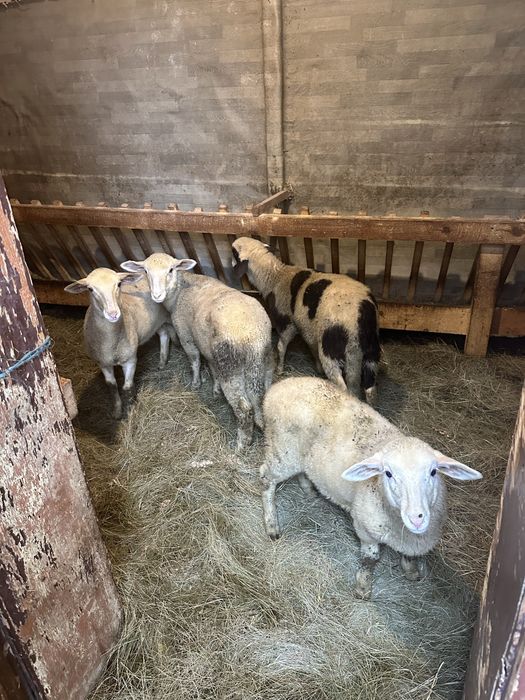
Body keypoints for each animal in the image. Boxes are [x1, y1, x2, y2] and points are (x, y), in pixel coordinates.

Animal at [65, 267, 173, 419]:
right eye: (90, 289)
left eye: (119, 284)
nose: (113, 314)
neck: (111, 342)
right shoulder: (103, 363)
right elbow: (112, 386)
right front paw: (117, 411)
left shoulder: (130, 360)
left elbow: (127, 387)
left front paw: (131, 408)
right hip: (156, 322)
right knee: (164, 335)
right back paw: (162, 362)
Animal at [120, 253, 273, 449]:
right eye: (146, 271)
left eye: (171, 270)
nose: (157, 295)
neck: (180, 289)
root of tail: (253, 335)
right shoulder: (208, 347)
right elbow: (212, 369)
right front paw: (215, 390)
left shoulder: (186, 335)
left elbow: (194, 360)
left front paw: (195, 383)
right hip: (261, 359)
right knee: (261, 394)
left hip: (230, 367)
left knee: (243, 408)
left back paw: (241, 443)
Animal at [231, 237, 380, 403]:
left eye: (234, 252)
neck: (275, 277)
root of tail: (357, 319)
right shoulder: (308, 329)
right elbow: (311, 347)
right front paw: (317, 367)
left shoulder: (287, 323)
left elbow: (281, 347)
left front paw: (279, 369)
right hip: (371, 349)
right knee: (370, 389)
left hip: (331, 350)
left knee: (343, 387)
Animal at [259, 376, 482, 600]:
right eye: (388, 473)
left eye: (434, 472)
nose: (416, 518)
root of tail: (280, 386)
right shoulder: (364, 527)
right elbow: (370, 560)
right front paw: (363, 588)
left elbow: (408, 555)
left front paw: (410, 571)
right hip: (283, 451)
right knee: (266, 477)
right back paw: (272, 525)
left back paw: (308, 488)